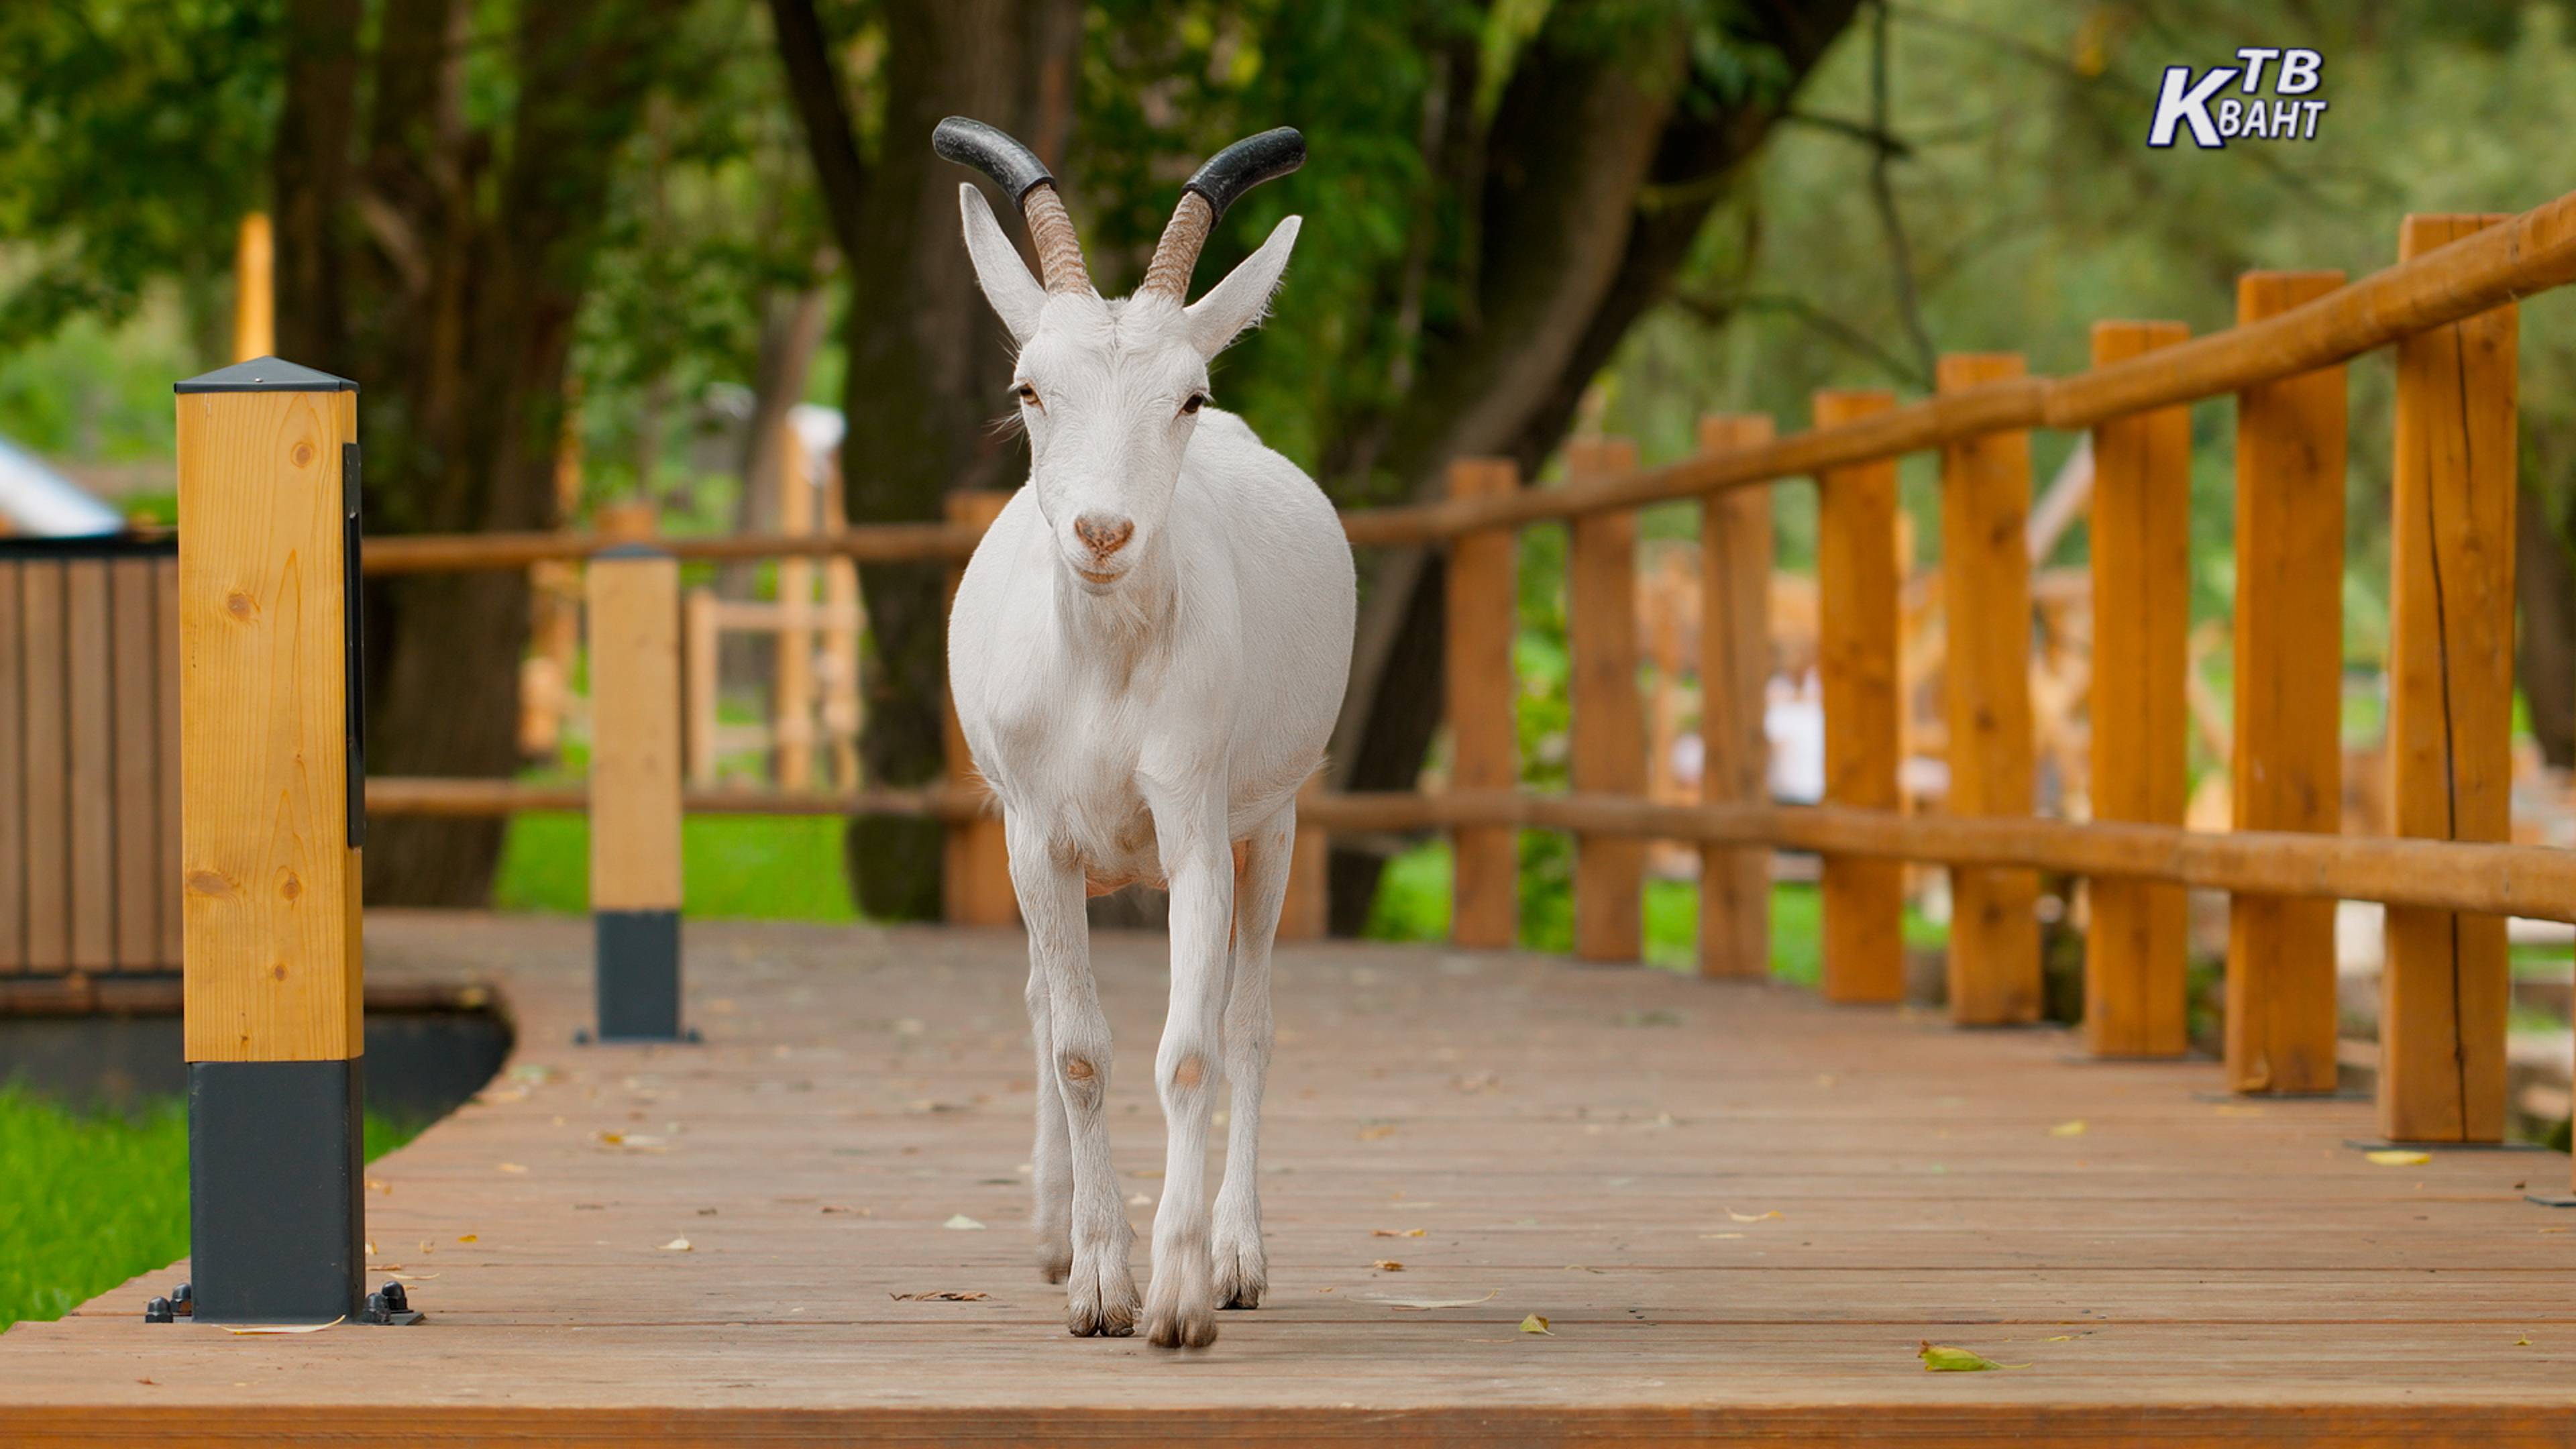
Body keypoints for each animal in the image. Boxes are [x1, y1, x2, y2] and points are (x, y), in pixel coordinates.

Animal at [937, 115, 1360, 1340]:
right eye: (1030, 387)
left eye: (1190, 398)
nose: (1102, 532)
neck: (1107, 678)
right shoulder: (1035, 838)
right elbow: (1078, 1049)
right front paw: (1096, 1283)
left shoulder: (1197, 826)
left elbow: (1191, 1050)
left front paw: (1177, 1294)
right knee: (1044, 1006)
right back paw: (1050, 1231)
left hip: (1274, 823)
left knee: (1250, 1023)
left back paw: (1239, 1256)